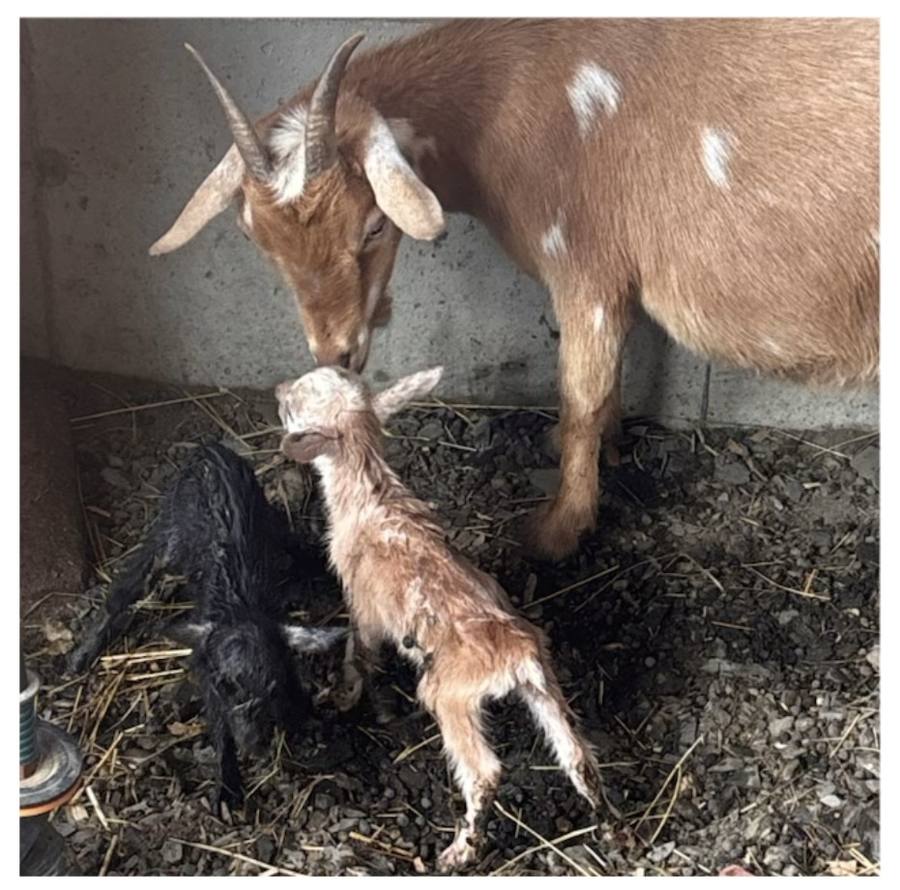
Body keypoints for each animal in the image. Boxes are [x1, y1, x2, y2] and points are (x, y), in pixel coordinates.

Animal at [68, 443, 345, 810]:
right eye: (223, 686)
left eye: (270, 687)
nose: (253, 746)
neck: (239, 607)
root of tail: (208, 448)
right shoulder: (206, 672)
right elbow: (218, 724)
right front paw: (228, 789)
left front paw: (307, 724)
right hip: (169, 532)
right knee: (126, 586)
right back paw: (80, 656)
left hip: (266, 520)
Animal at [151, 20, 879, 560]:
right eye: (257, 240)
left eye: (373, 226)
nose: (337, 352)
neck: (520, 87)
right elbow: (606, 384)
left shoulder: (586, 269)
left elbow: (581, 393)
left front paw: (557, 529)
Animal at [275, 365, 604, 870]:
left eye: (292, 405)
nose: (276, 390)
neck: (370, 495)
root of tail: (517, 654)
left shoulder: (363, 603)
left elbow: (358, 651)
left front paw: (344, 697)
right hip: (543, 683)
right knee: (575, 750)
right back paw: (601, 812)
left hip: (448, 694)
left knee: (485, 770)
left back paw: (460, 851)